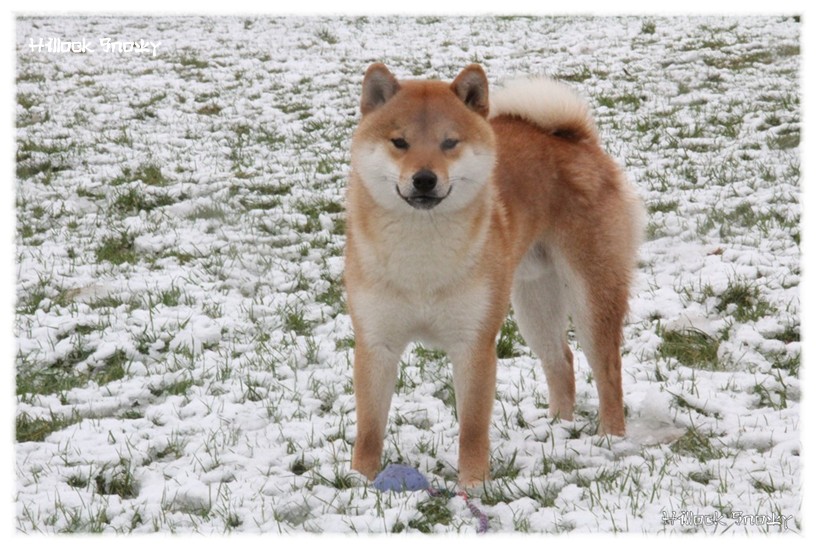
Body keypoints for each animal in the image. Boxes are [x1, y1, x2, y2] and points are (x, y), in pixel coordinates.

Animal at [344, 62, 644, 486]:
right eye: (399, 142)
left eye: (450, 143)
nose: (424, 178)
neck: (421, 255)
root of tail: (576, 141)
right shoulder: (376, 343)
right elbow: (369, 427)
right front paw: (359, 483)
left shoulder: (473, 344)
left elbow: (472, 427)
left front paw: (473, 485)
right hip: (534, 304)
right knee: (562, 362)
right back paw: (557, 428)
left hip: (591, 298)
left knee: (608, 372)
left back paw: (610, 440)